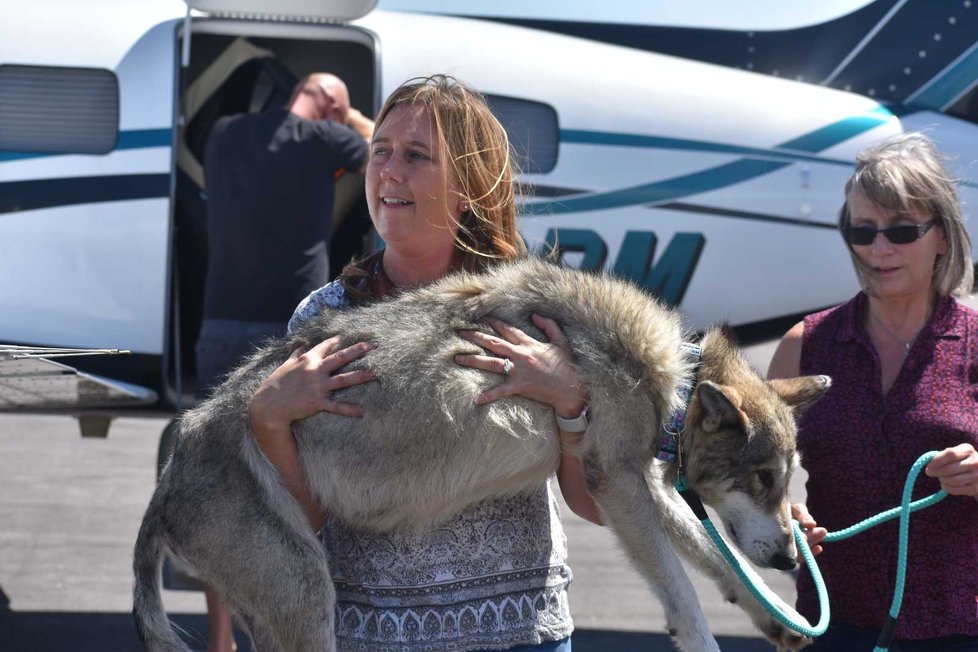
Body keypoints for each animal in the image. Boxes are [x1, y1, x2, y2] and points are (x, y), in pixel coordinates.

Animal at [133, 258, 828, 652]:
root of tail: (165, 481)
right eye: (763, 478)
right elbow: (686, 598)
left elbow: (717, 556)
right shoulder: (619, 482)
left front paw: (781, 619)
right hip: (307, 599)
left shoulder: (644, 486)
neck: (673, 381)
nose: (793, 559)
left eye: (786, 480)